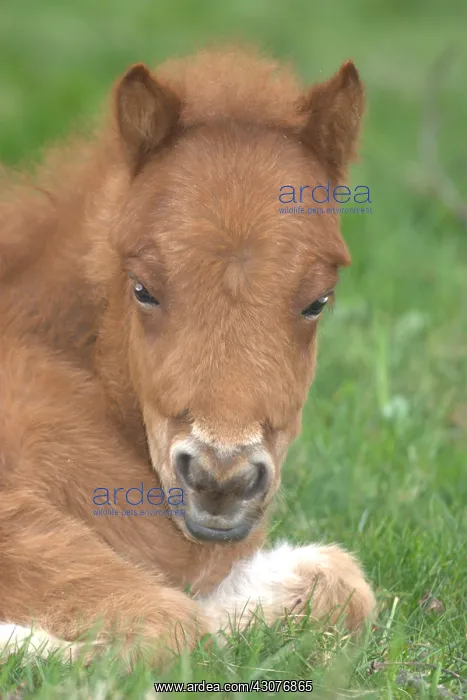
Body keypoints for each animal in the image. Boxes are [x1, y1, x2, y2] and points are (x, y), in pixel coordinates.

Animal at [0, 46, 375, 665]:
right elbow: (169, 627)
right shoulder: (17, 521)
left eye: (317, 301)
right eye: (143, 289)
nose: (220, 480)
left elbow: (336, 582)